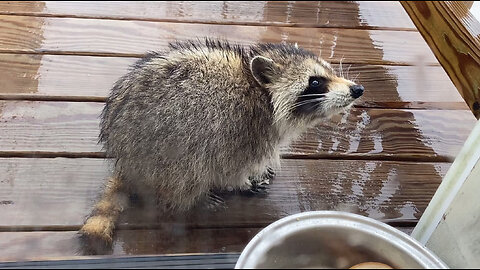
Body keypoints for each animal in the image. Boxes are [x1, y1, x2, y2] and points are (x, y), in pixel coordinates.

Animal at [79, 38, 364, 251]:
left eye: (329, 71)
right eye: (315, 81)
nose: (357, 89)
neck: (262, 95)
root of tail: (124, 159)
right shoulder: (238, 130)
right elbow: (230, 167)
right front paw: (242, 181)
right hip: (165, 150)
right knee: (186, 174)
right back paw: (196, 196)